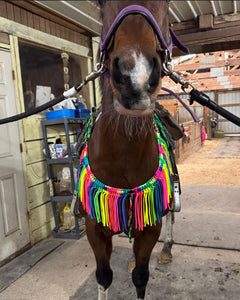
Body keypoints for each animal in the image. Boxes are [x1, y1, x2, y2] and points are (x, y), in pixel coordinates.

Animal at [78, 1, 174, 298]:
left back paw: (167, 249)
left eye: (168, 4)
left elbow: (140, 277)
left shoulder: (151, 225)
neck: (123, 156)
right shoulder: (94, 228)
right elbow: (103, 276)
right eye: (100, 4)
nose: (136, 77)